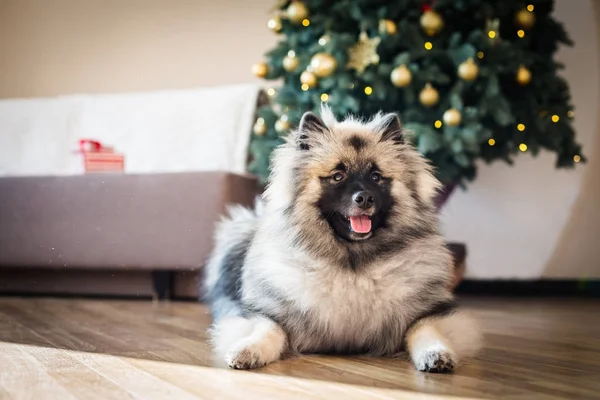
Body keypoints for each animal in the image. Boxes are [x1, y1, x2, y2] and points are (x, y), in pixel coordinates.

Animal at [205, 105, 482, 372]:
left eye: (376, 177)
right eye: (338, 176)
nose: (365, 198)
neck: (352, 266)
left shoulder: (429, 313)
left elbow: (425, 330)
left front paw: (436, 353)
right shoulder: (268, 313)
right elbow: (266, 330)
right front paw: (247, 350)